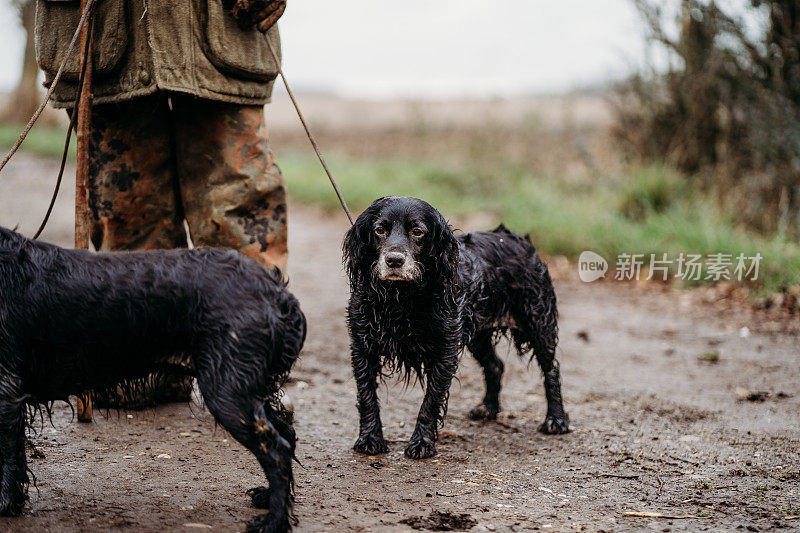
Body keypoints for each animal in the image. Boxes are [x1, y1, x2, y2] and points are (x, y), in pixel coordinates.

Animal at [0, 228, 306, 532]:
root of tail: (276, 291)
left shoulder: (6, 388)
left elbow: (7, 456)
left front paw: (5, 506)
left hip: (228, 391)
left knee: (276, 448)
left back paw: (274, 522)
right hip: (244, 387)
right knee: (286, 434)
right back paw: (268, 498)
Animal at [344, 195, 568, 458]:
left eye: (417, 232)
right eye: (379, 230)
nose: (394, 260)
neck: (400, 298)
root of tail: (519, 240)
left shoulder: (444, 352)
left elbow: (430, 402)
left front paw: (421, 442)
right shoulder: (363, 347)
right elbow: (367, 394)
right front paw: (370, 438)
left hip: (538, 324)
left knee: (551, 369)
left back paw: (556, 419)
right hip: (478, 335)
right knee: (496, 365)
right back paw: (487, 407)